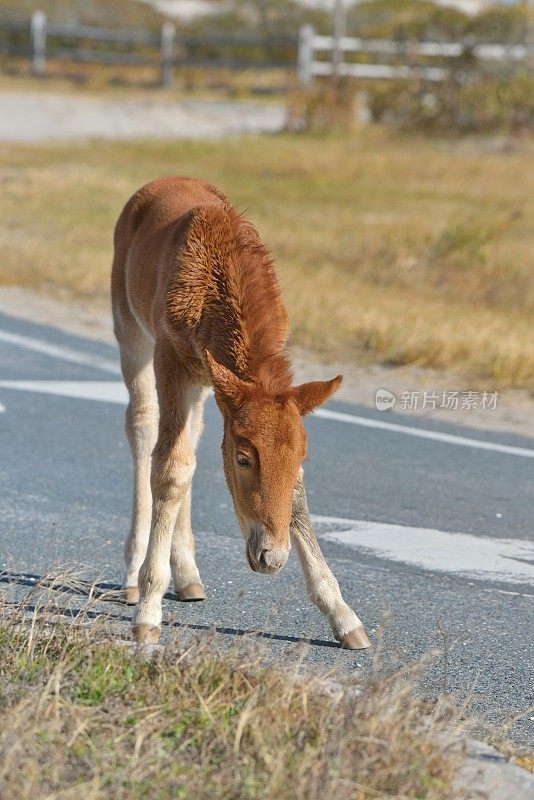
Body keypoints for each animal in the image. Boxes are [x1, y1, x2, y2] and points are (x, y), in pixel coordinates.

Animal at [112, 177, 372, 648]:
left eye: (301, 458)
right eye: (244, 458)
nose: (272, 556)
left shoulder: (209, 381)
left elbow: (293, 495)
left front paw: (343, 616)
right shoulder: (170, 361)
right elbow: (170, 469)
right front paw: (148, 613)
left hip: (200, 384)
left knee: (191, 441)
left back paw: (189, 576)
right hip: (131, 333)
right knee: (143, 428)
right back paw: (132, 578)